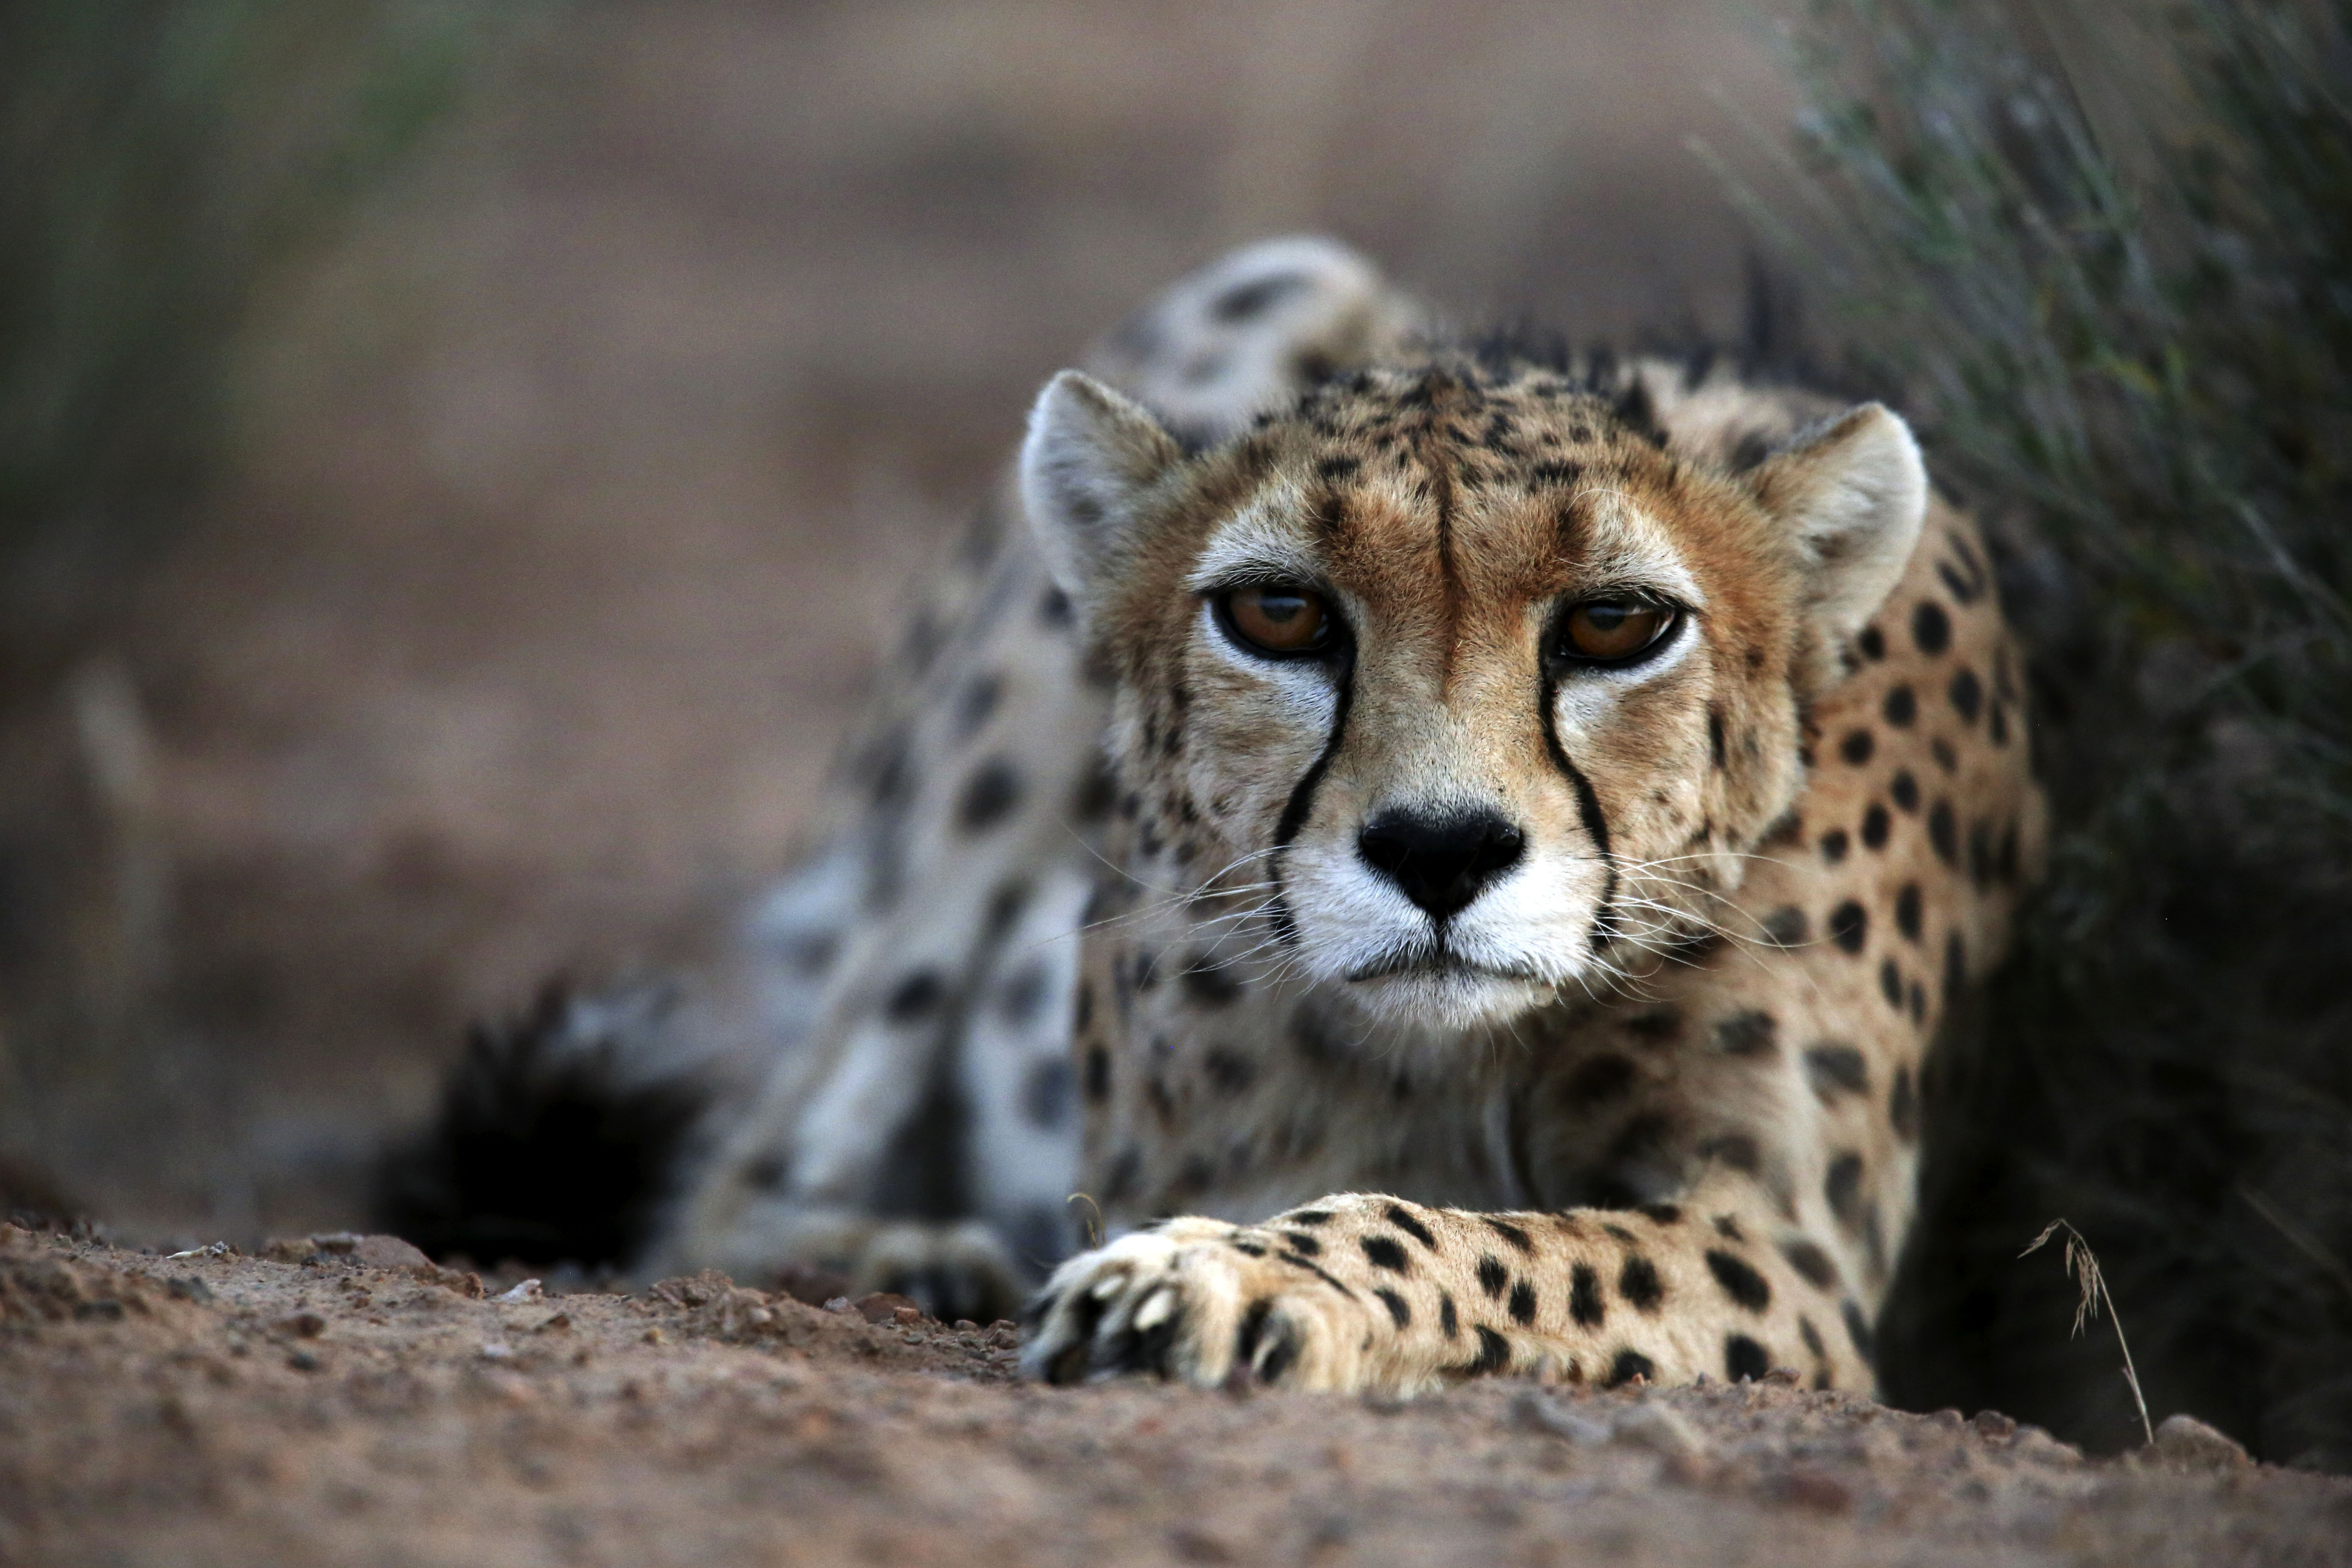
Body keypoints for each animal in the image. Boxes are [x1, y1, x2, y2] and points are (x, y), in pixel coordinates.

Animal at [393, 236, 2043, 1402]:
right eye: (1278, 613)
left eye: (1616, 623)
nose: (1439, 854)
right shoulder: (1161, 1157)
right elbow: (1447, 1221)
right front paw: (1207, 1274)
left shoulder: (1784, 1244)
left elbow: (1499, 1240)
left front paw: (1231, 1286)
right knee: (732, 1170)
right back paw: (894, 1252)